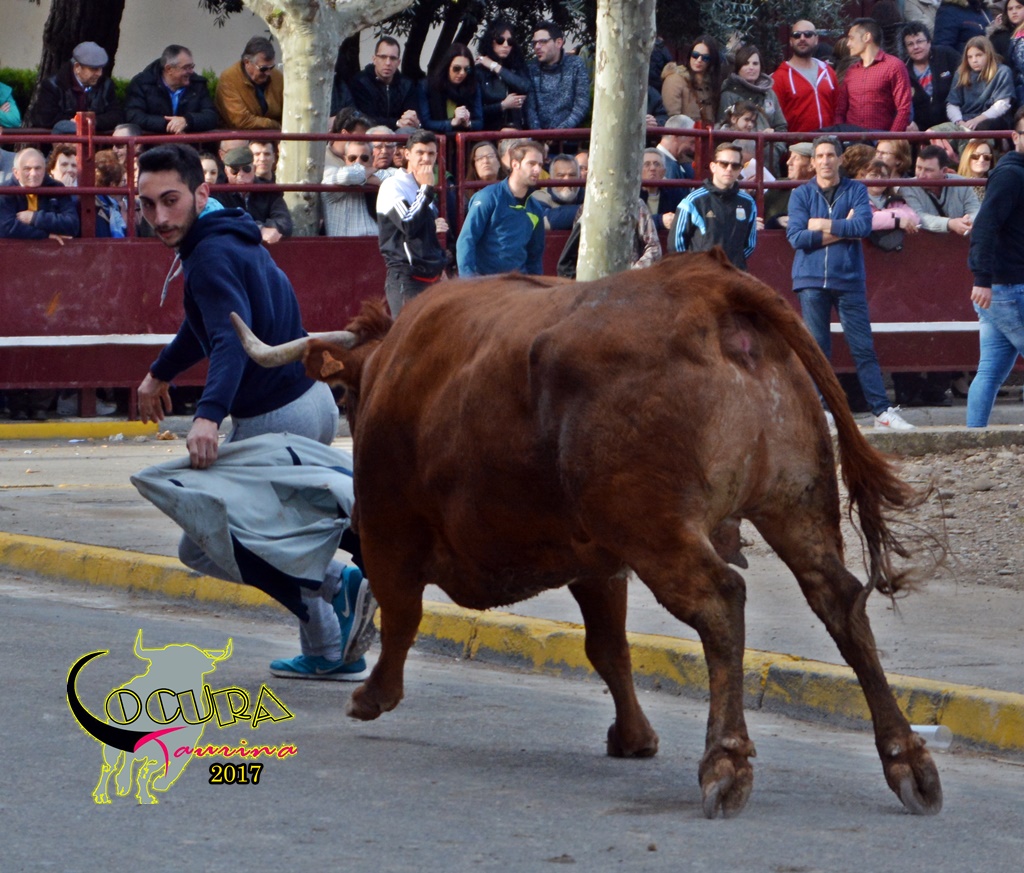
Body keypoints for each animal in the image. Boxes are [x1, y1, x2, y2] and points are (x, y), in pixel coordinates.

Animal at [232, 250, 942, 819]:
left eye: (349, 395)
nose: (346, 412)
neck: (401, 360)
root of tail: (704, 284)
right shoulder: (599, 560)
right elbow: (609, 647)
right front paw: (634, 737)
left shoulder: (388, 526)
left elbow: (402, 614)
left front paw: (375, 695)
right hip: (796, 504)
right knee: (839, 600)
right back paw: (907, 759)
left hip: (658, 529)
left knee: (722, 603)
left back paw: (726, 762)